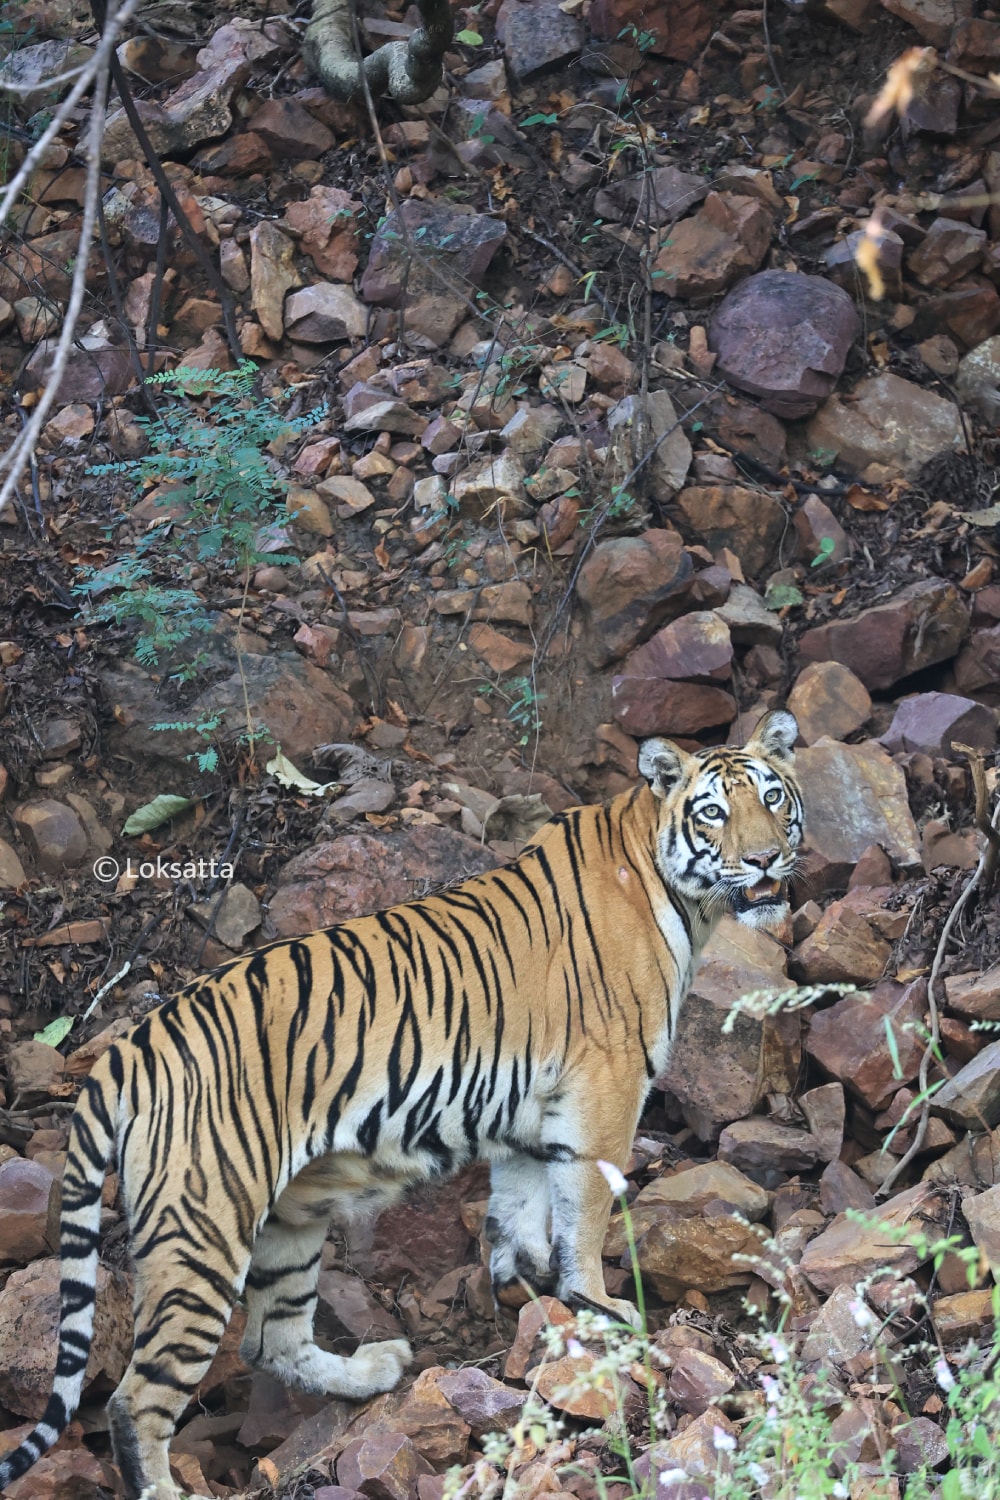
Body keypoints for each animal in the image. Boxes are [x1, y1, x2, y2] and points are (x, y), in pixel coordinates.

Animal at [0, 711, 803, 1500]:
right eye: (713, 812)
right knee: (137, 1398)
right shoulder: (605, 1088)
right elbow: (587, 1208)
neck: (680, 893)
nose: (765, 860)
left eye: (773, 799)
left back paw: (373, 1371)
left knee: (269, 1341)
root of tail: (128, 1048)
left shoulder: (531, 1110)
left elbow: (525, 1208)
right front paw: (599, 1305)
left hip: (286, 1220)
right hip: (203, 1226)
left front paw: (526, 1287)